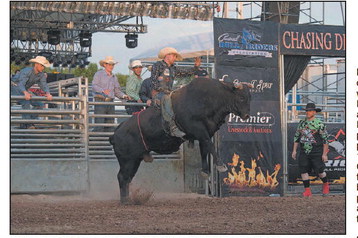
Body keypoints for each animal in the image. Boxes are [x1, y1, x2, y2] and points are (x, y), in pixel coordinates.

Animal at [109, 76, 252, 203]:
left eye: (250, 98)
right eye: (241, 97)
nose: (246, 115)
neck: (211, 98)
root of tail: (116, 133)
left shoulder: (204, 133)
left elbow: (204, 150)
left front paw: (205, 171)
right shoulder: (199, 129)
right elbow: (210, 146)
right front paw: (221, 166)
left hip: (135, 160)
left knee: (127, 178)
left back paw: (127, 199)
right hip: (127, 160)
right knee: (122, 177)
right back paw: (125, 200)